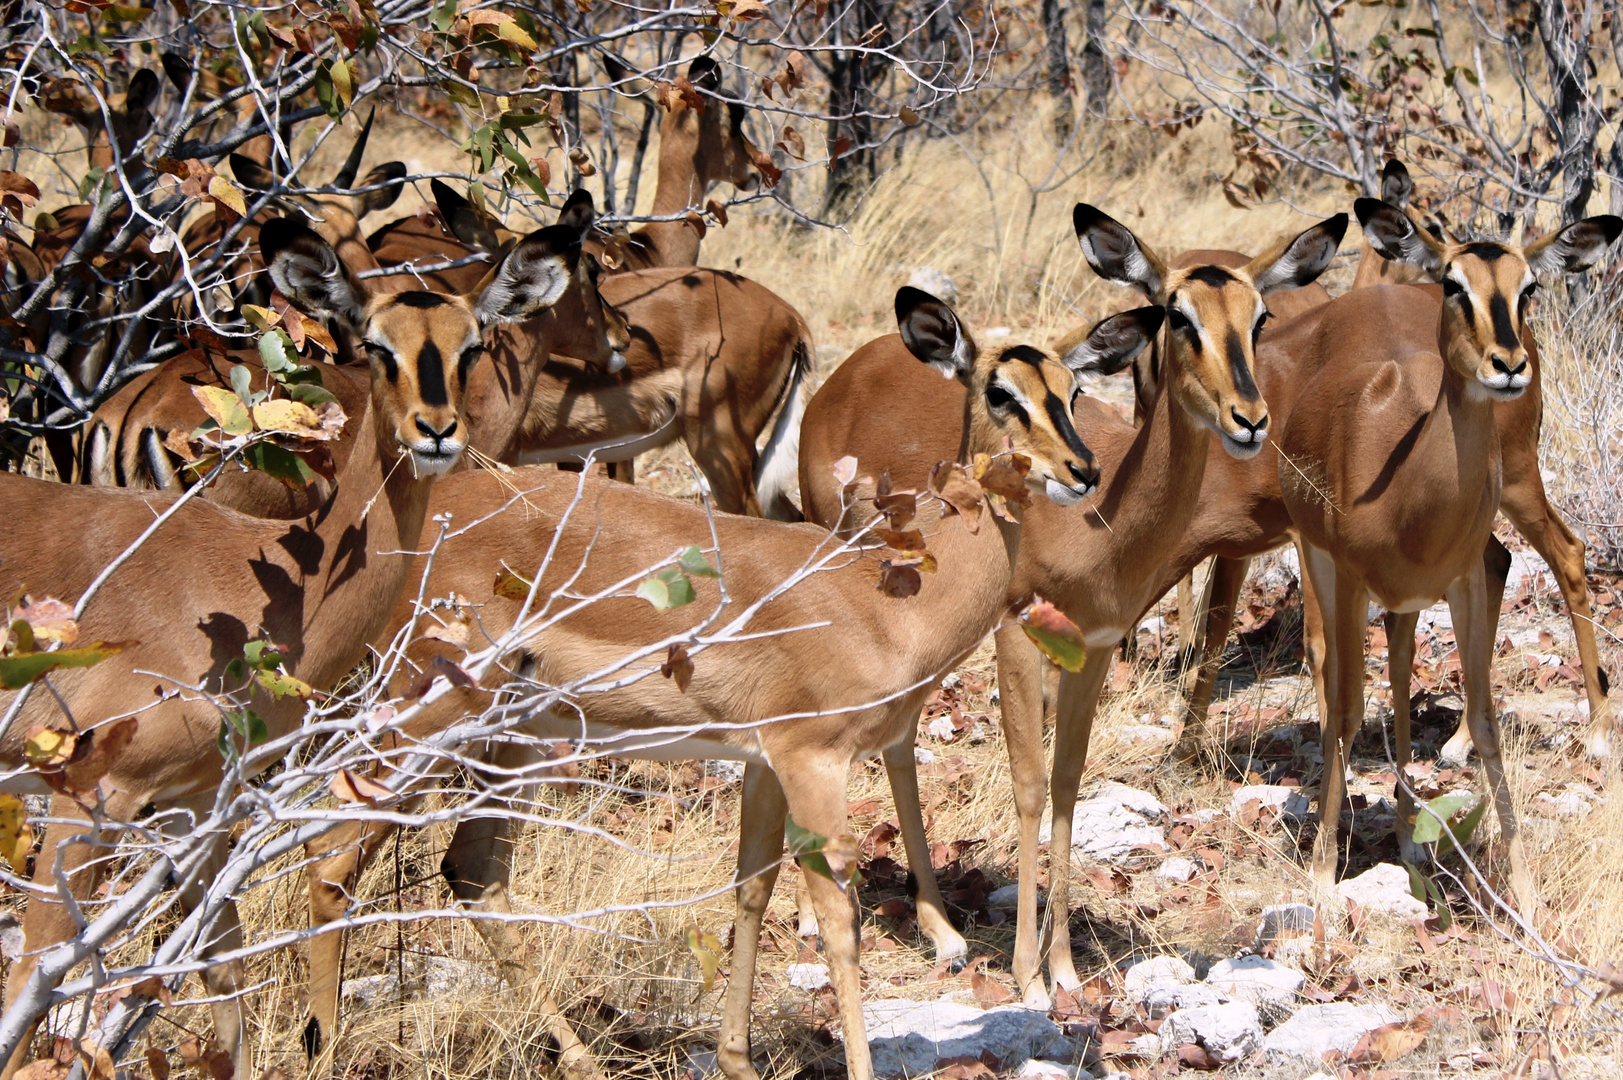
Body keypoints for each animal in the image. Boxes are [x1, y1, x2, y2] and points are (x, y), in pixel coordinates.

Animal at [0, 212, 584, 1078]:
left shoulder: (196, 809)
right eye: (374, 343)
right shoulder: (90, 802)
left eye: (473, 342)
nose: (436, 431)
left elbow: (222, 980)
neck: (249, 590)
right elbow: (31, 993)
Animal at [292, 285, 1136, 1078]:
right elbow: (838, 925)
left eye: (1071, 390)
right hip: (424, 719)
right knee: (331, 860)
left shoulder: (763, 763)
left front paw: (737, 1058)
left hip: (513, 738)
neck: (883, 601)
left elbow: (750, 891)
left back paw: (584, 1058)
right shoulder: (813, 761)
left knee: (470, 871)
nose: (1082, 471)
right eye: (1000, 391)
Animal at [798, 207, 1343, 1000]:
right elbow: (1028, 786)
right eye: (1177, 315)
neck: (1099, 527)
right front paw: (1027, 973)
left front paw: (1061, 968)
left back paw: (941, 932)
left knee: (897, 739)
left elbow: (1066, 786)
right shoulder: (1016, 638)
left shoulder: (1093, 648)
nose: (1249, 418)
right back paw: (826, 923)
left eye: (1260, 316)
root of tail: (840, 377)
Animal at [1285, 198, 1616, 915]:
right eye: (1453, 284)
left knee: (1557, 556)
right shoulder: (1347, 575)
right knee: (1365, 672)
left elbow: (1488, 722)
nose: (1507, 364)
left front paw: (1524, 892)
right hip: (1344, 563)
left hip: (1508, 495)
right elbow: (1347, 709)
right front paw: (1322, 874)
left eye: (1529, 287)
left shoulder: (1455, 580)